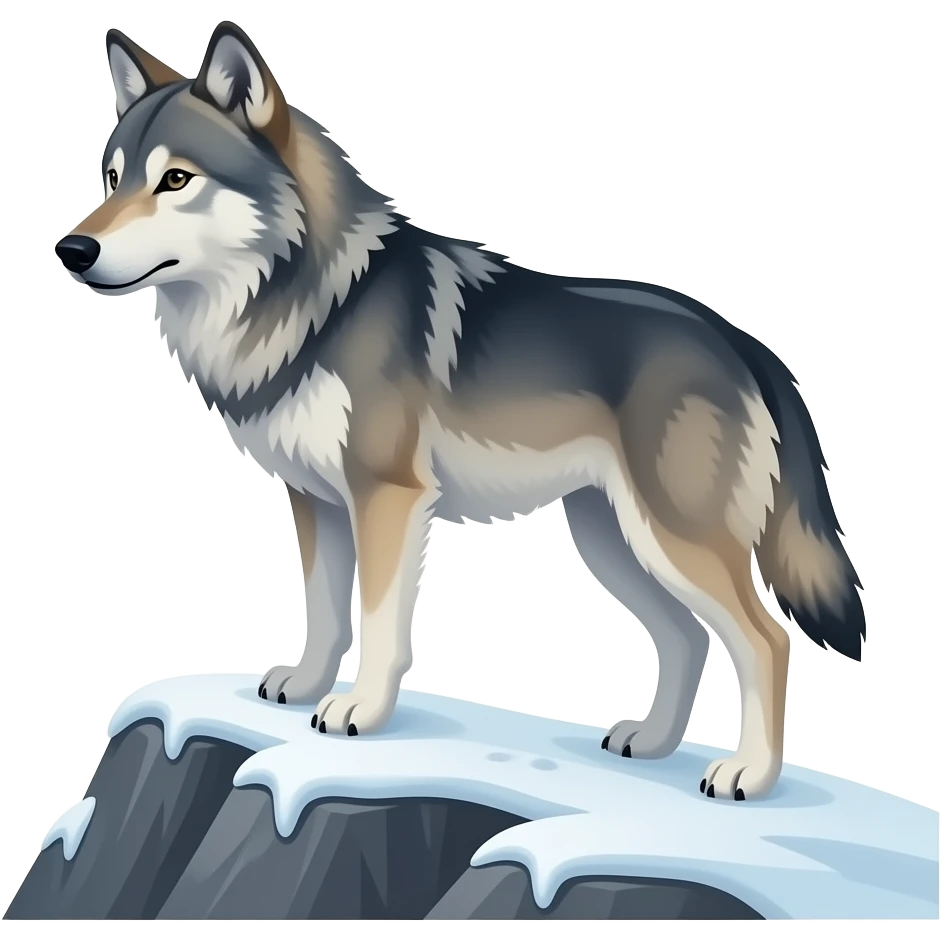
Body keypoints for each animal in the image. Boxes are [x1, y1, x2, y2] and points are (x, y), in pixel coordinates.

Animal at [54, 21, 866, 801]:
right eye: (113, 178)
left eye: (176, 180)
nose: (73, 249)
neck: (313, 301)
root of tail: (741, 341)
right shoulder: (317, 501)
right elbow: (325, 612)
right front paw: (306, 688)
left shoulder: (387, 497)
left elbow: (378, 622)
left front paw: (358, 712)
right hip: (613, 542)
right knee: (688, 639)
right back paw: (652, 743)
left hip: (671, 540)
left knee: (766, 641)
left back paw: (747, 778)